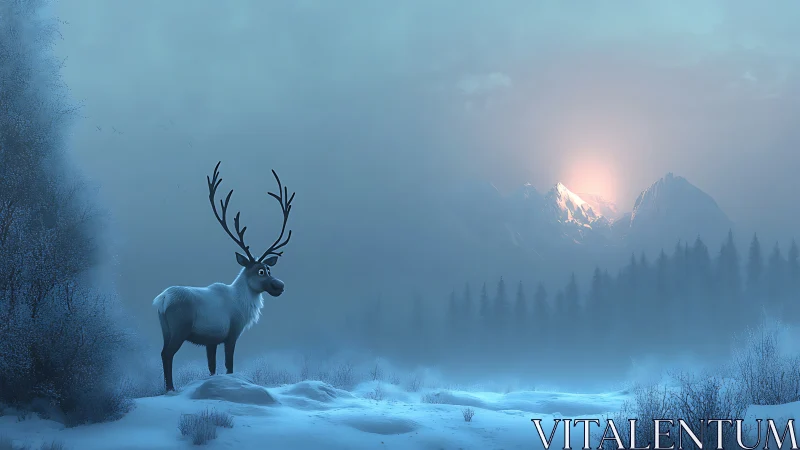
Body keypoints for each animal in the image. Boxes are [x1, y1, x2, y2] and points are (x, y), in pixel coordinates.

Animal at [152, 161, 295, 392]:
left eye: (269, 268)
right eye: (260, 271)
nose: (280, 285)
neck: (243, 303)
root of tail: (162, 299)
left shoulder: (211, 341)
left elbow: (212, 368)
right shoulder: (232, 333)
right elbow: (229, 366)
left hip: (164, 328)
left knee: (163, 352)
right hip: (179, 328)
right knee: (167, 354)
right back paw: (170, 389)